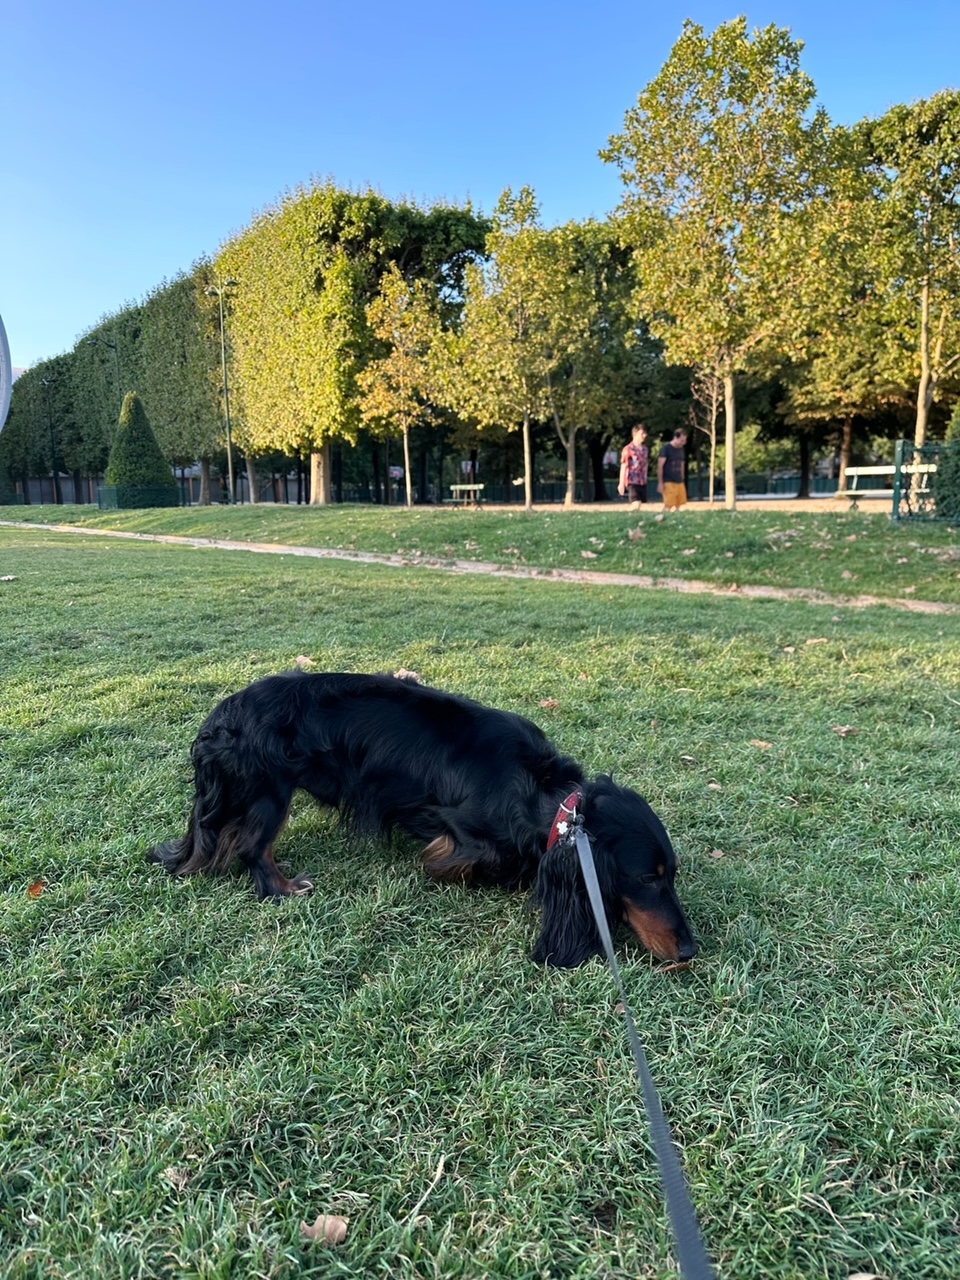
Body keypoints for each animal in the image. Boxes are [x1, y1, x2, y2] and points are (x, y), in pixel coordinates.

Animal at [146, 675, 696, 962]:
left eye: (671, 874)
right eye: (648, 878)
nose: (690, 950)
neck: (540, 791)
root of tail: (218, 718)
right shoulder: (464, 835)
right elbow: (460, 862)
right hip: (268, 792)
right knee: (251, 847)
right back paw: (283, 888)